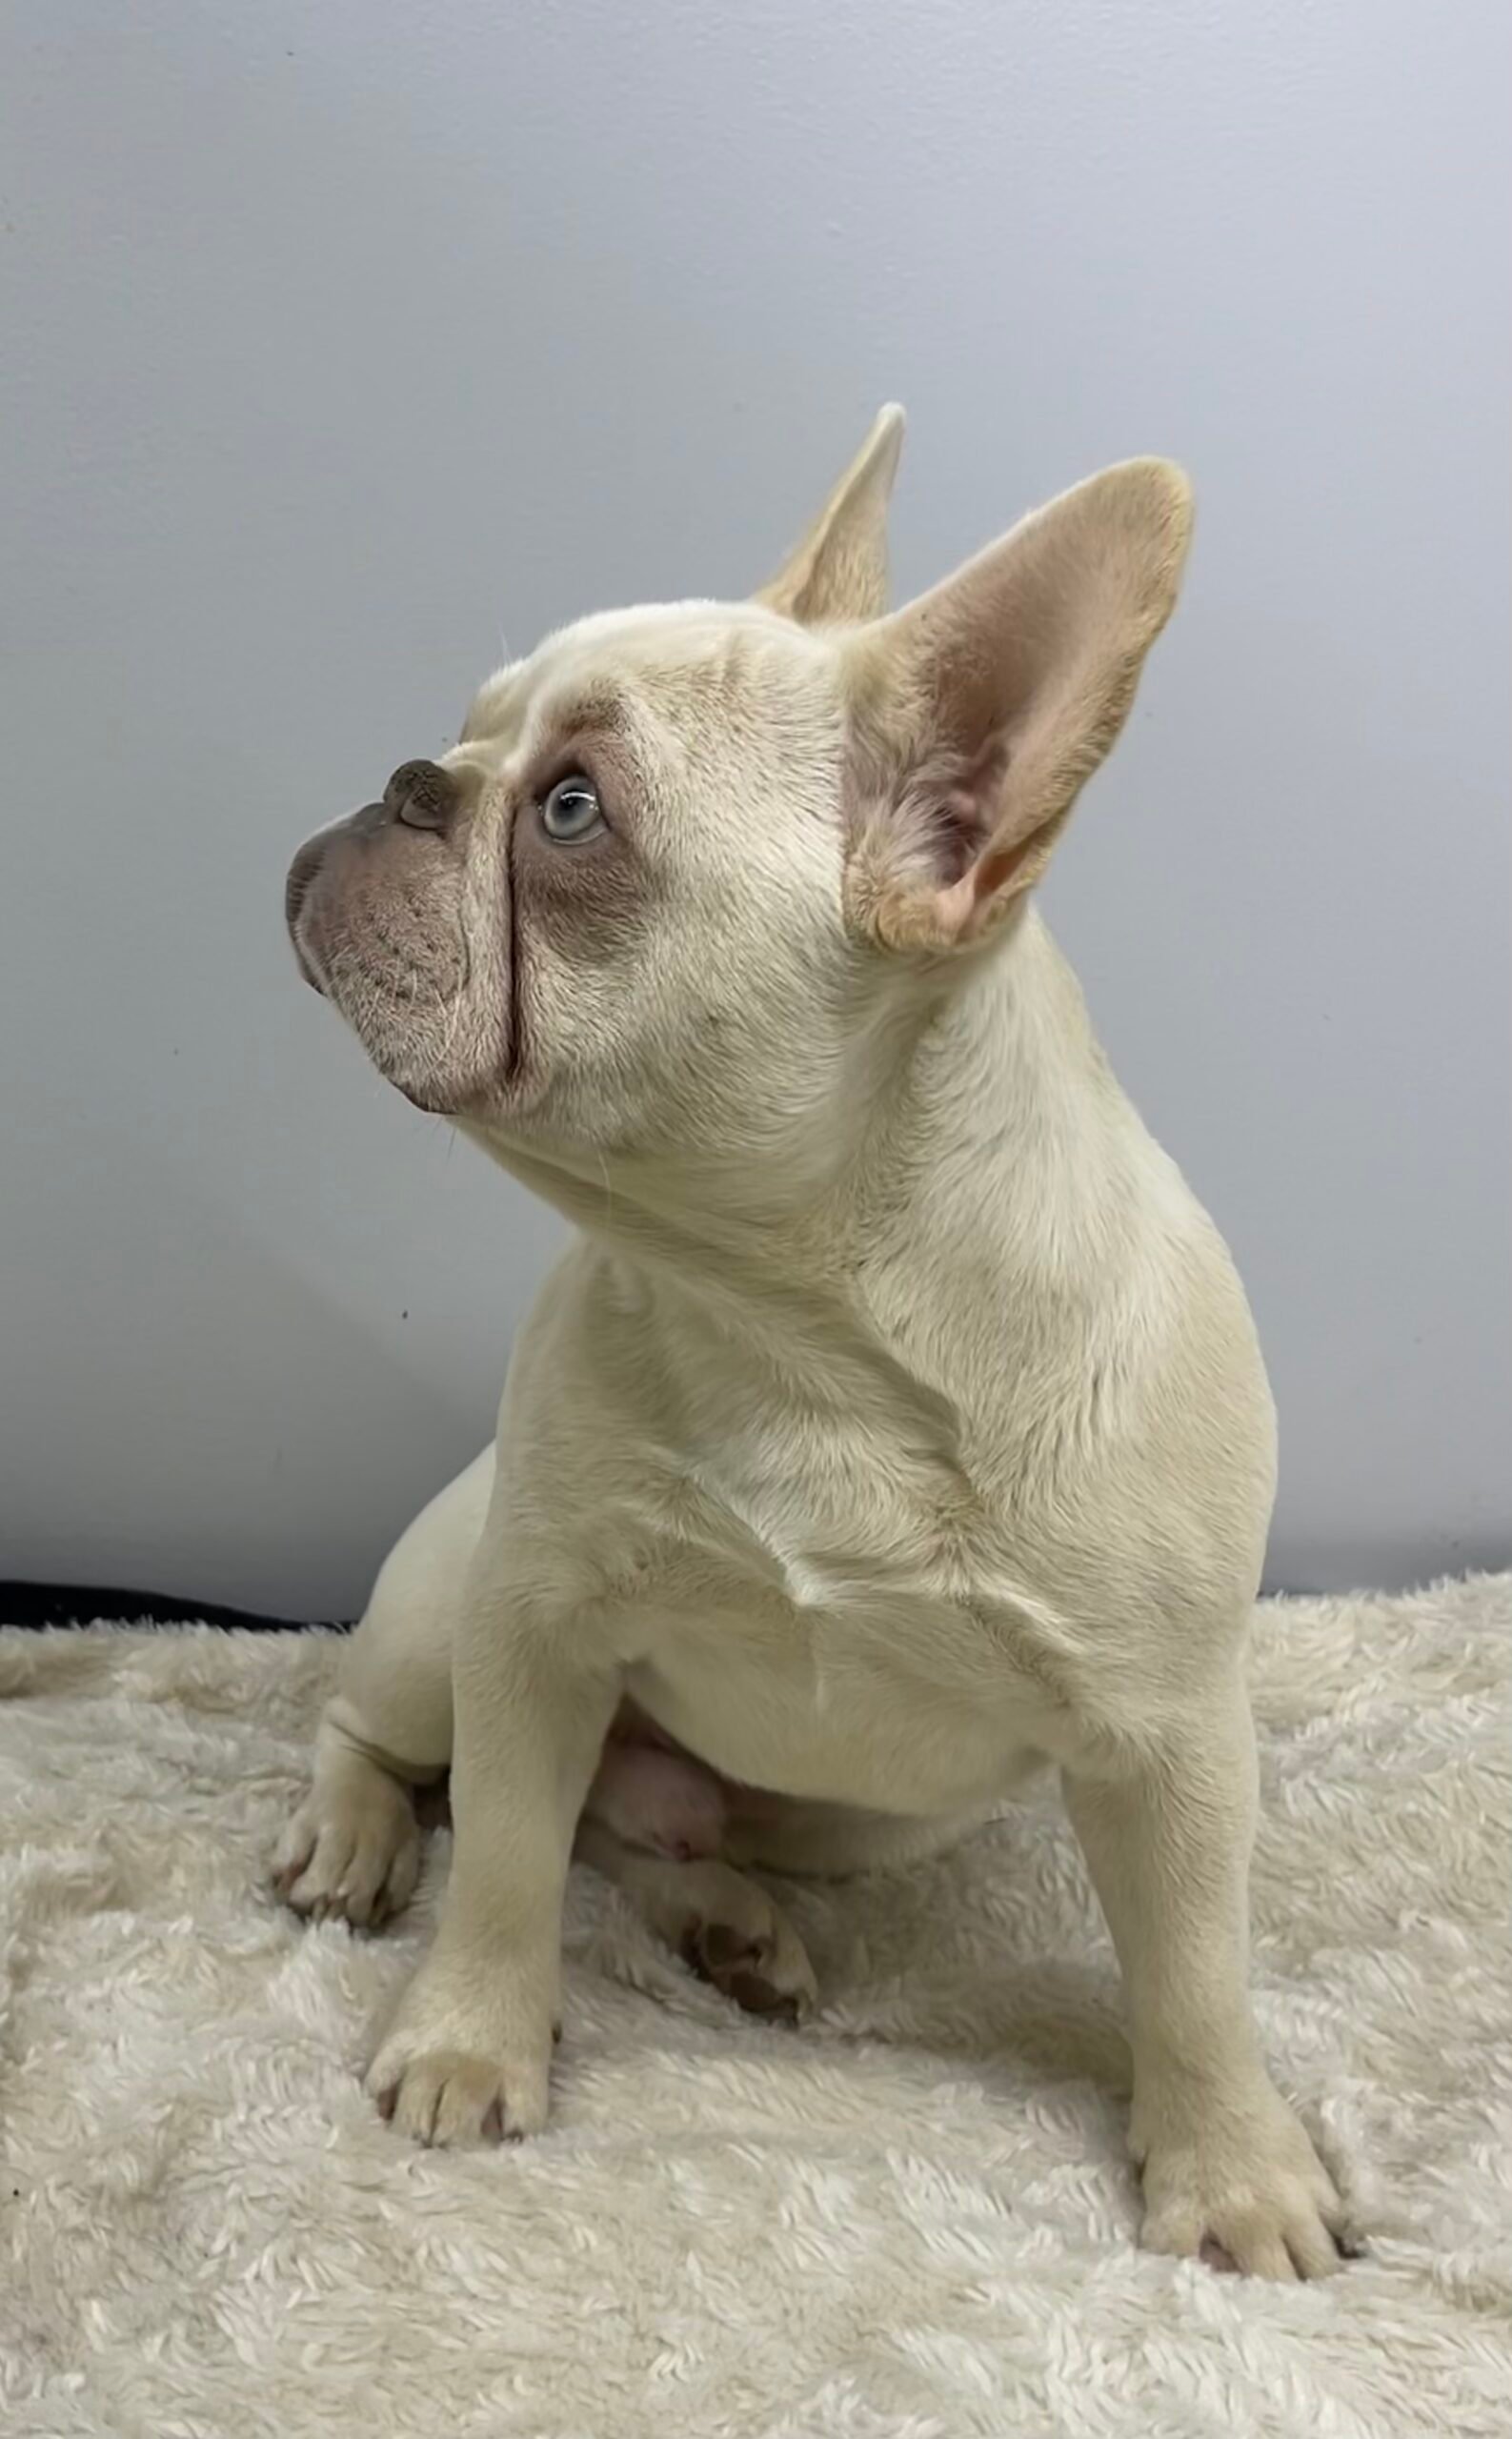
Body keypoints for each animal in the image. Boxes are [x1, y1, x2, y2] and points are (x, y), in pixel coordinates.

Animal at [277, 410, 1353, 2279]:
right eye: (475, 731)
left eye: (572, 809)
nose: (407, 778)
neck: (799, 1317)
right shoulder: (531, 1621)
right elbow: (502, 1864)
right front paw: (469, 2040)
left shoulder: (1173, 1740)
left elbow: (1197, 1976)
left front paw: (1234, 2171)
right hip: (435, 1617)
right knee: (417, 1753)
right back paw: (352, 1836)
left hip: (863, 1817)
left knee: (635, 1825)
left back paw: (732, 1922)